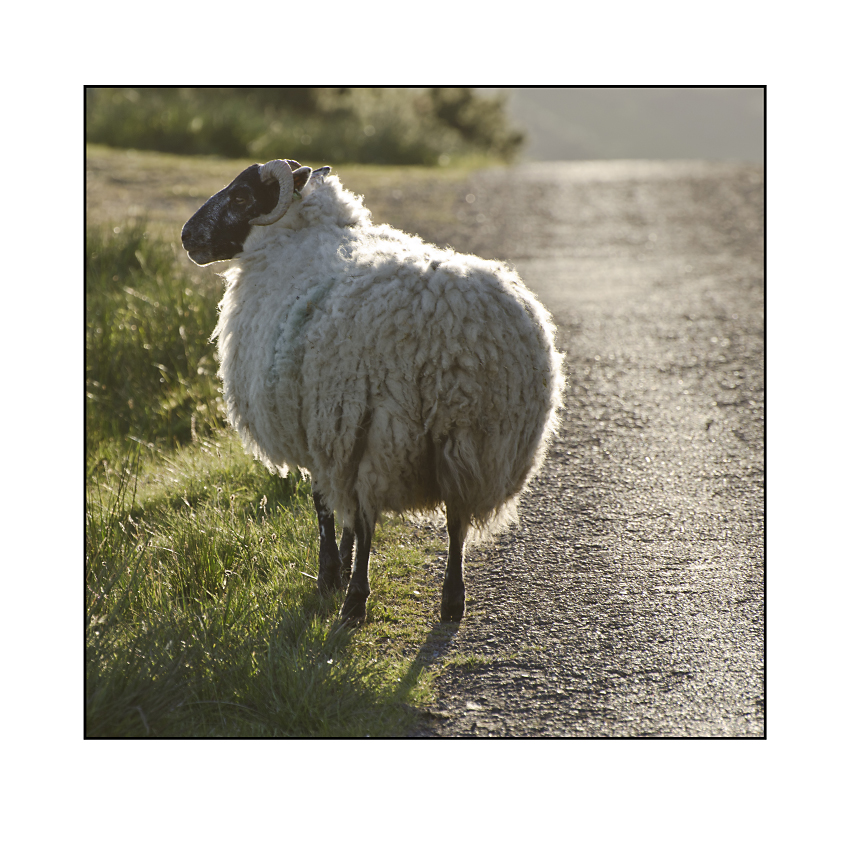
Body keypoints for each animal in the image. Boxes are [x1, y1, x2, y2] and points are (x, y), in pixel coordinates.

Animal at [181, 159, 564, 624]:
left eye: (240, 196)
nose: (186, 237)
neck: (295, 235)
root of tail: (448, 329)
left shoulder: (324, 427)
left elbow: (325, 505)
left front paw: (331, 574)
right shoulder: (335, 436)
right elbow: (341, 507)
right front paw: (340, 567)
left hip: (383, 428)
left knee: (368, 518)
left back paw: (355, 601)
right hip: (474, 438)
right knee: (456, 518)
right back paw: (452, 599)